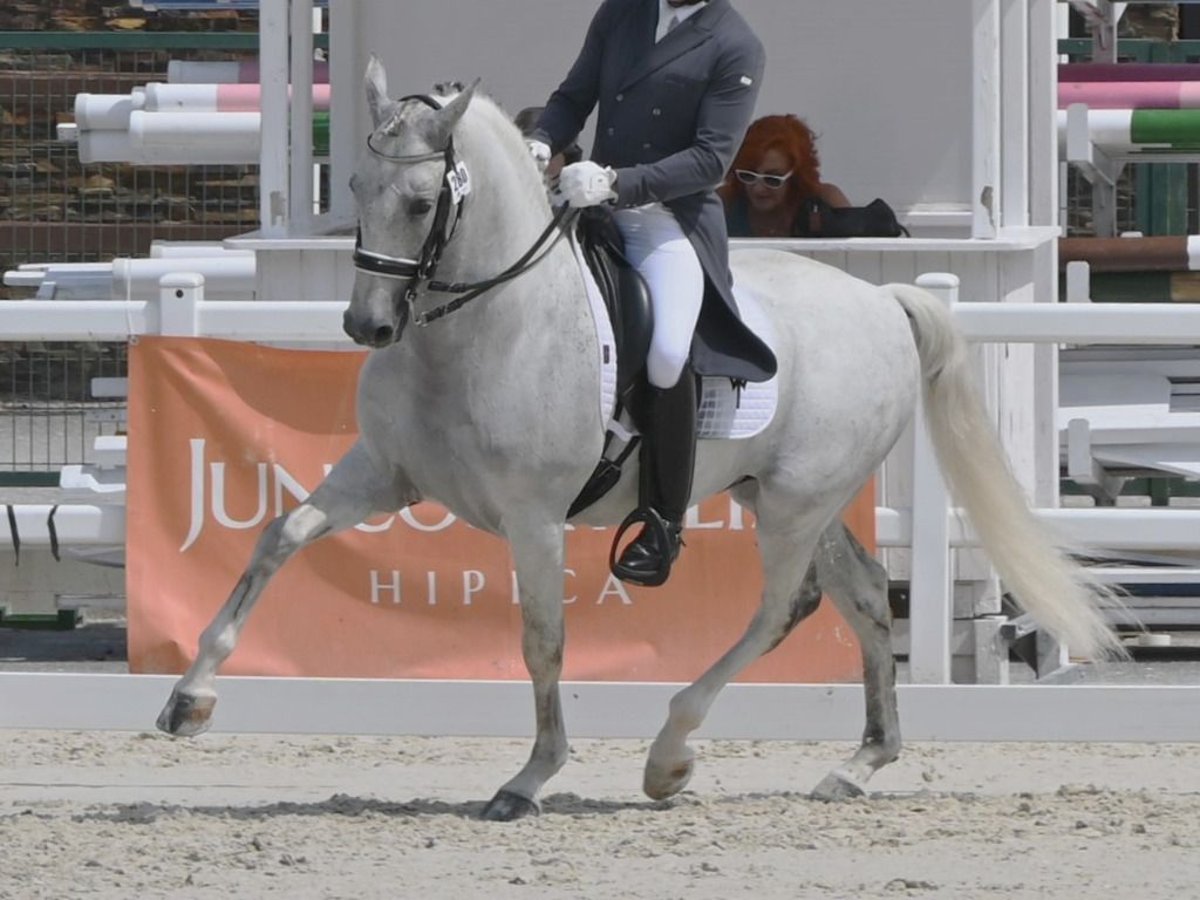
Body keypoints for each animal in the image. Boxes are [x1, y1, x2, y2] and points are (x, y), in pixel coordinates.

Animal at [154, 58, 1118, 825]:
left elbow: (543, 639)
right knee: (865, 593)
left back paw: (670, 754)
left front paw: (530, 778)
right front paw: (188, 700)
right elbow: (277, 539)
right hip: (788, 494)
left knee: (782, 608)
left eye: (424, 201)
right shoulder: (382, 476)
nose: (367, 326)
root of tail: (882, 299)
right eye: (353, 189)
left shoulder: (533, 517)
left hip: (796, 502)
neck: (479, 328)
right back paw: (858, 764)